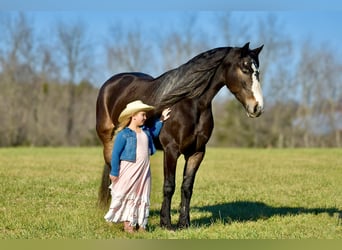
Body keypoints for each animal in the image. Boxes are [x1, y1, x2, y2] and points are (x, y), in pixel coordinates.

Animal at [96, 42, 264, 229]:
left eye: (257, 71)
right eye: (245, 69)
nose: (257, 107)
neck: (191, 103)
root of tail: (111, 83)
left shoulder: (197, 152)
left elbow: (187, 186)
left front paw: (184, 223)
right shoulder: (171, 150)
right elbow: (169, 185)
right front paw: (166, 223)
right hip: (108, 142)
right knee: (114, 174)